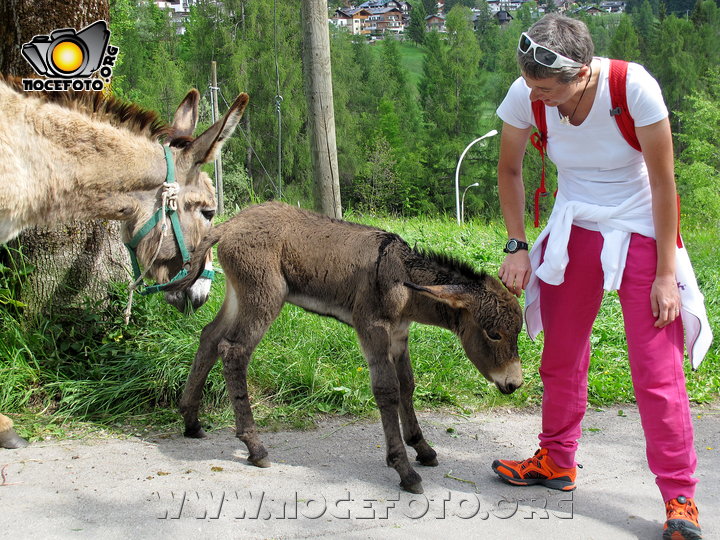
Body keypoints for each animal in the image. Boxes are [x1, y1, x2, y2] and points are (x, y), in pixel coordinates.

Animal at [165, 202, 520, 494]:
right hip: (264, 295)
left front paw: (423, 448)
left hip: (240, 295)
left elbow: (407, 385)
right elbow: (387, 390)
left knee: (210, 338)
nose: (514, 384)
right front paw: (404, 469)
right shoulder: (373, 328)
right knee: (234, 351)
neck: (402, 277)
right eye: (494, 334)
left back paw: (191, 421)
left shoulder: (399, 336)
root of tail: (229, 225)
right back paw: (255, 447)